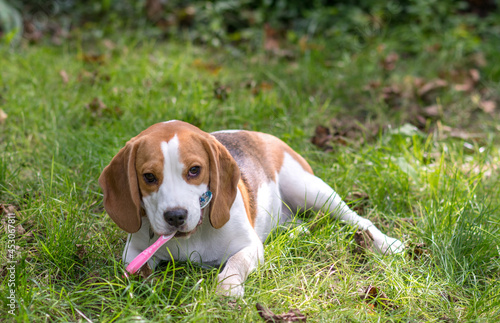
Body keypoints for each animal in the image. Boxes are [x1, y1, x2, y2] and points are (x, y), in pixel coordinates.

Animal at [99, 121, 404, 296]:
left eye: (194, 170)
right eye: (149, 177)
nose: (175, 216)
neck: (192, 237)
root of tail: (259, 134)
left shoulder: (250, 247)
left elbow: (234, 264)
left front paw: (227, 289)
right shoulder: (133, 252)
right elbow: (139, 270)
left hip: (310, 189)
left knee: (354, 217)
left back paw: (386, 243)